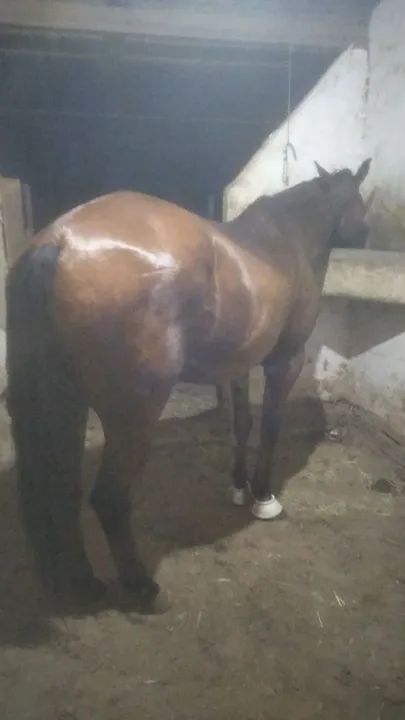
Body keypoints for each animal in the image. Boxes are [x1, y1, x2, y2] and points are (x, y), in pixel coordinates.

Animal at [6, 159, 371, 613]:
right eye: (357, 197)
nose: (365, 233)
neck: (287, 242)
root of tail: (61, 240)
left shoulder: (238, 365)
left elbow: (242, 425)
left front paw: (239, 487)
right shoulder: (285, 361)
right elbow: (270, 428)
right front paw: (264, 498)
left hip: (65, 403)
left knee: (62, 488)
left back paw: (82, 582)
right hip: (133, 417)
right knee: (108, 498)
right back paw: (142, 588)